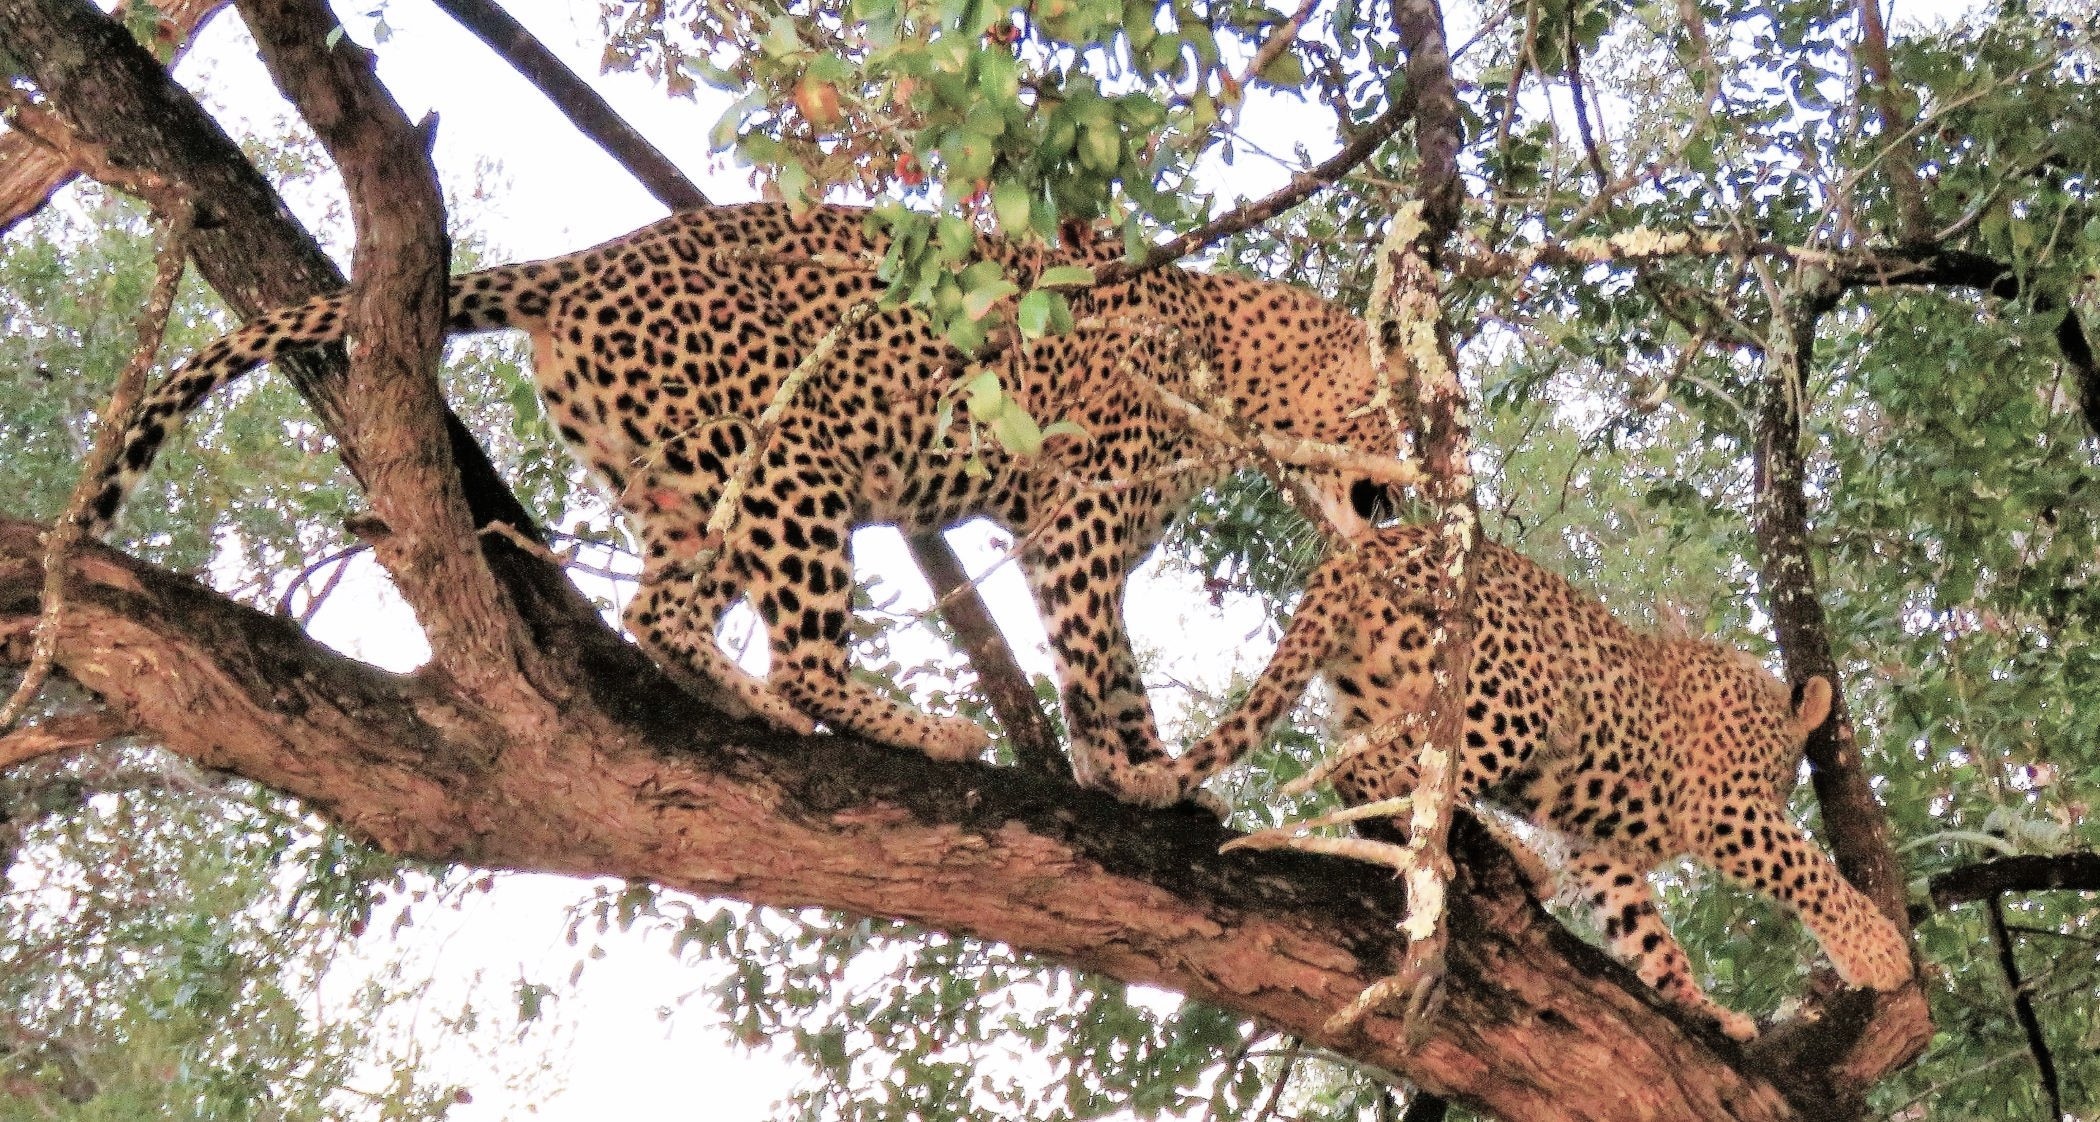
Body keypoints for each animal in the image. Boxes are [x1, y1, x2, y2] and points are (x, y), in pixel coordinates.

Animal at [81, 202, 1402, 811]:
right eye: (1395, 414)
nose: (1418, 490)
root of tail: (588, 262)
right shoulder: (1074, 532)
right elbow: (1104, 666)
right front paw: (1143, 773)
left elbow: (1103, 664)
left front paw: (1142, 770)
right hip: (789, 462)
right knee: (801, 649)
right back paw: (909, 726)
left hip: (691, 485)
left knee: (661, 613)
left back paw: (749, 707)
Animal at [1142, 527, 1915, 1046]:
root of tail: (1375, 540)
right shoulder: (1727, 805)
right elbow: (1805, 867)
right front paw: (1880, 951)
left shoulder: (1599, 848)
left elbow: (1648, 934)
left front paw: (1701, 1008)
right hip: (1508, 701)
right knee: (1392, 778)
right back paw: (1507, 857)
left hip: (1382, 700)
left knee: (1374, 778)